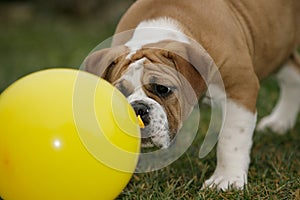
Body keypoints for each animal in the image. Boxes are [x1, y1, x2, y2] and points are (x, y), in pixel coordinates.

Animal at [84, 0, 300, 191]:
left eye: (162, 89)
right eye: (119, 92)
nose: (137, 108)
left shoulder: (239, 89)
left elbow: (231, 140)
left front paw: (226, 180)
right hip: (278, 49)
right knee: (293, 75)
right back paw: (279, 122)